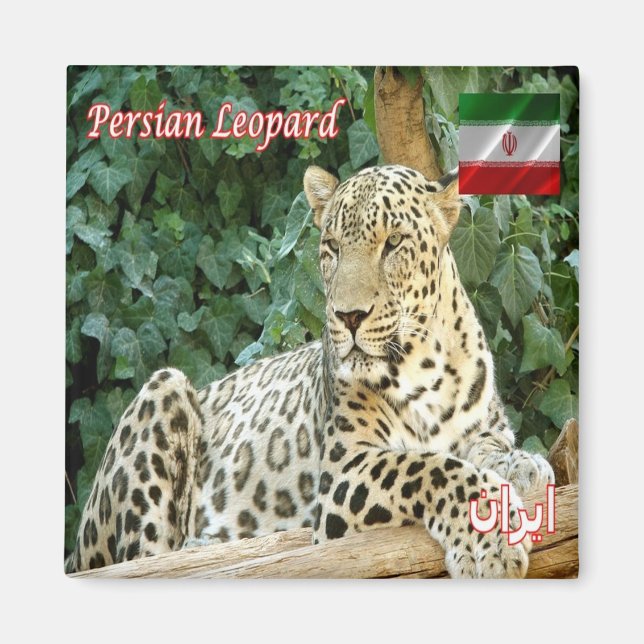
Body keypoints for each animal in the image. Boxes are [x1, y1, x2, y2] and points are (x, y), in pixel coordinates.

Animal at [65, 164, 554, 578]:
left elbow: (485, 449)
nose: (348, 316)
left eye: (394, 242)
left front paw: (524, 465)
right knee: (142, 560)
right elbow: (430, 467)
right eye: (332, 247)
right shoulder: (344, 471)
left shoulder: (482, 428)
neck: (425, 364)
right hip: (163, 388)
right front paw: (491, 539)